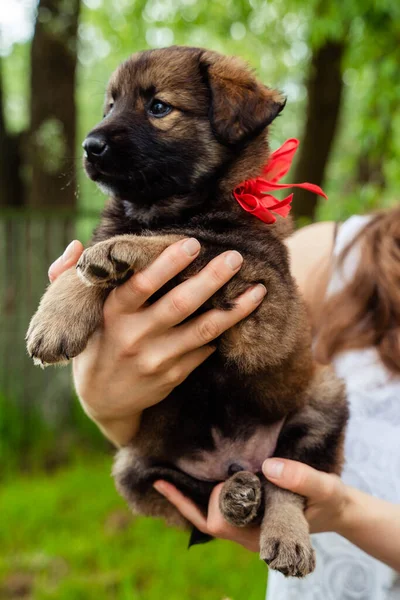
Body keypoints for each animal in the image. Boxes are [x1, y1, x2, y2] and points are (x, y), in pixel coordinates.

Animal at [27, 47, 346, 576]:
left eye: (158, 107)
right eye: (110, 104)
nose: (90, 146)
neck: (171, 206)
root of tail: (235, 459)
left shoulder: (267, 300)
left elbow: (188, 241)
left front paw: (123, 251)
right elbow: (79, 262)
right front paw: (55, 318)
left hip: (322, 394)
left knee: (286, 481)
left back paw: (283, 531)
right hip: (132, 464)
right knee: (200, 494)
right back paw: (238, 496)